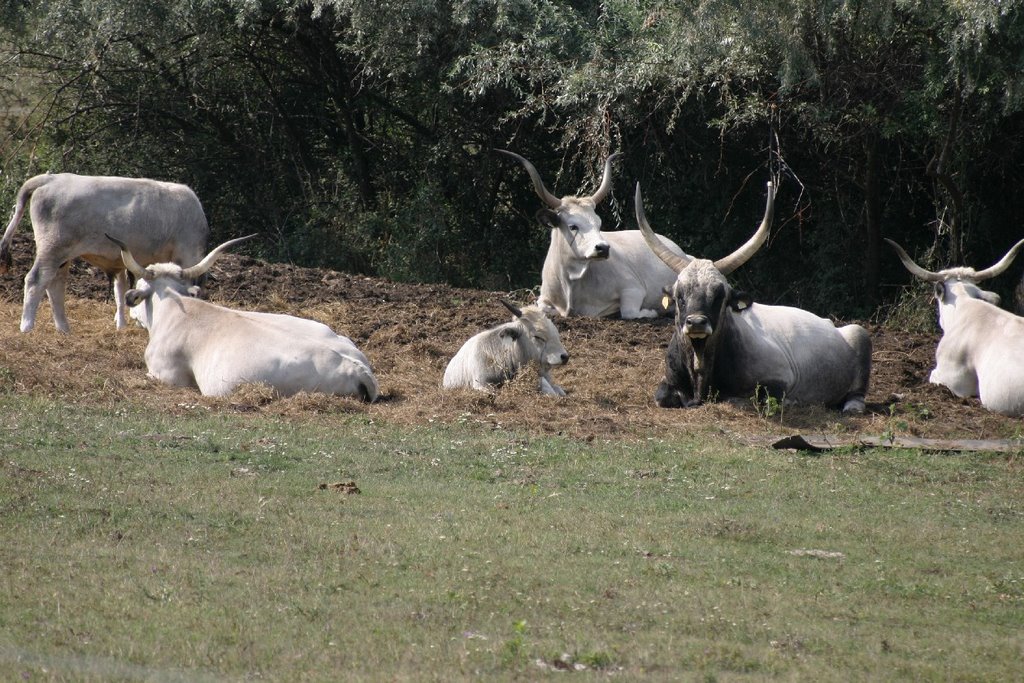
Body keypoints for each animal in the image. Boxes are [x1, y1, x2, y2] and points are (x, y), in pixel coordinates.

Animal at [497, 148, 688, 319]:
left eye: (599, 224)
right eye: (573, 226)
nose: (603, 248)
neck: (571, 284)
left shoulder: (633, 288)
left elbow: (629, 312)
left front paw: (652, 312)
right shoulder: (544, 298)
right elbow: (543, 308)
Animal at [634, 181, 868, 413]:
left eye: (720, 295)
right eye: (679, 294)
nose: (697, 323)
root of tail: (829, 322)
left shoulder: (780, 377)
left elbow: (749, 399)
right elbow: (662, 397)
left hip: (860, 332)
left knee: (857, 395)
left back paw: (852, 406)